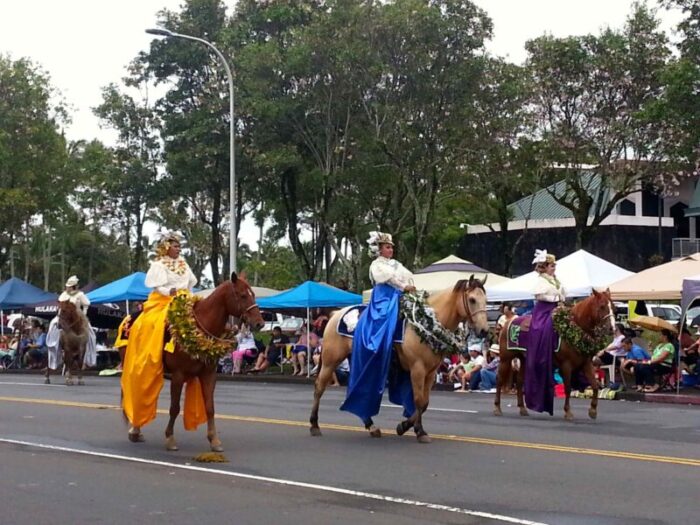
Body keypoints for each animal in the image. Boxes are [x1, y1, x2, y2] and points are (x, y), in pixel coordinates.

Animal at [124, 272, 264, 452]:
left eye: (253, 294)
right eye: (242, 295)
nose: (260, 323)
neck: (198, 328)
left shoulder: (209, 374)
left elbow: (210, 407)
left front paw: (214, 440)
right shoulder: (178, 375)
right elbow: (174, 408)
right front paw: (170, 438)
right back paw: (135, 430)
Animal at [308, 274, 490, 442]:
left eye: (485, 299)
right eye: (472, 299)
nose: (484, 331)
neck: (428, 323)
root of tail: (335, 314)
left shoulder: (431, 372)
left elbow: (425, 403)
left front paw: (404, 426)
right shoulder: (417, 369)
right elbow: (418, 400)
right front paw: (419, 431)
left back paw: (371, 426)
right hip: (331, 361)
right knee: (319, 388)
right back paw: (314, 425)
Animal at [492, 288, 612, 420]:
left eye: (613, 307)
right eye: (602, 306)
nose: (611, 329)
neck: (574, 328)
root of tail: (508, 322)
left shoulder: (586, 364)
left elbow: (595, 386)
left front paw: (593, 410)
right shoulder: (566, 365)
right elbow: (568, 388)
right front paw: (568, 412)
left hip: (524, 360)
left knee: (519, 381)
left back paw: (523, 409)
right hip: (505, 359)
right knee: (499, 380)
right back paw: (497, 408)